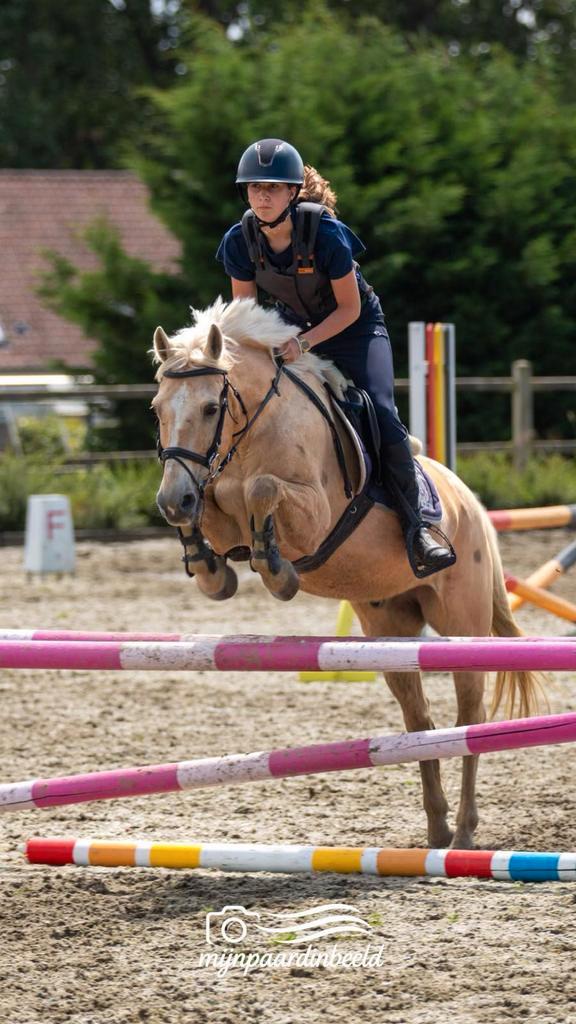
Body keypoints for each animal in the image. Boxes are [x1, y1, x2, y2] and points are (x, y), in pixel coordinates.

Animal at [152, 296, 542, 850]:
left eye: (211, 407)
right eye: (158, 409)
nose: (170, 500)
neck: (249, 436)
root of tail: (470, 502)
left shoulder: (314, 514)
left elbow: (262, 489)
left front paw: (277, 572)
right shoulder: (212, 496)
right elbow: (211, 507)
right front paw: (209, 568)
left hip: (462, 626)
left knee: (470, 719)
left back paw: (465, 832)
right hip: (389, 631)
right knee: (419, 720)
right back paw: (437, 826)